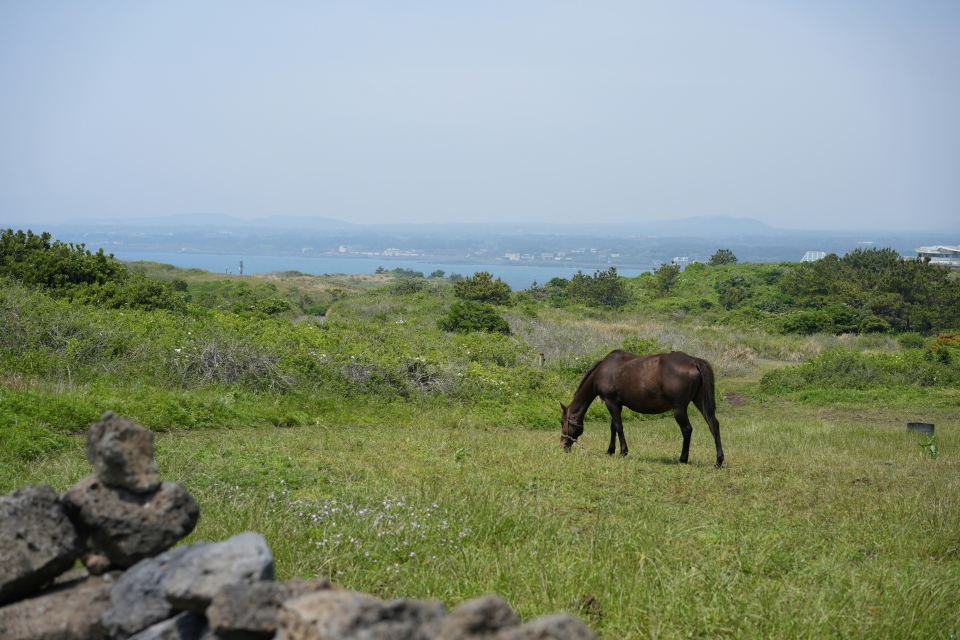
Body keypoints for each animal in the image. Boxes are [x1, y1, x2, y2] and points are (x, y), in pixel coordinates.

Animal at [560, 350, 724, 468]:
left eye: (562, 422)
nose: (562, 445)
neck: (604, 369)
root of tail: (694, 361)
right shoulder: (616, 404)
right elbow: (613, 427)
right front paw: (610, 450)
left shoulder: (611, 402)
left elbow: (618, 427)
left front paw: (623, 451)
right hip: (700, 402)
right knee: (713, 425)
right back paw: (718, 461)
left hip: (679, 408)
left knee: (687, 429)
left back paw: (682, 459)